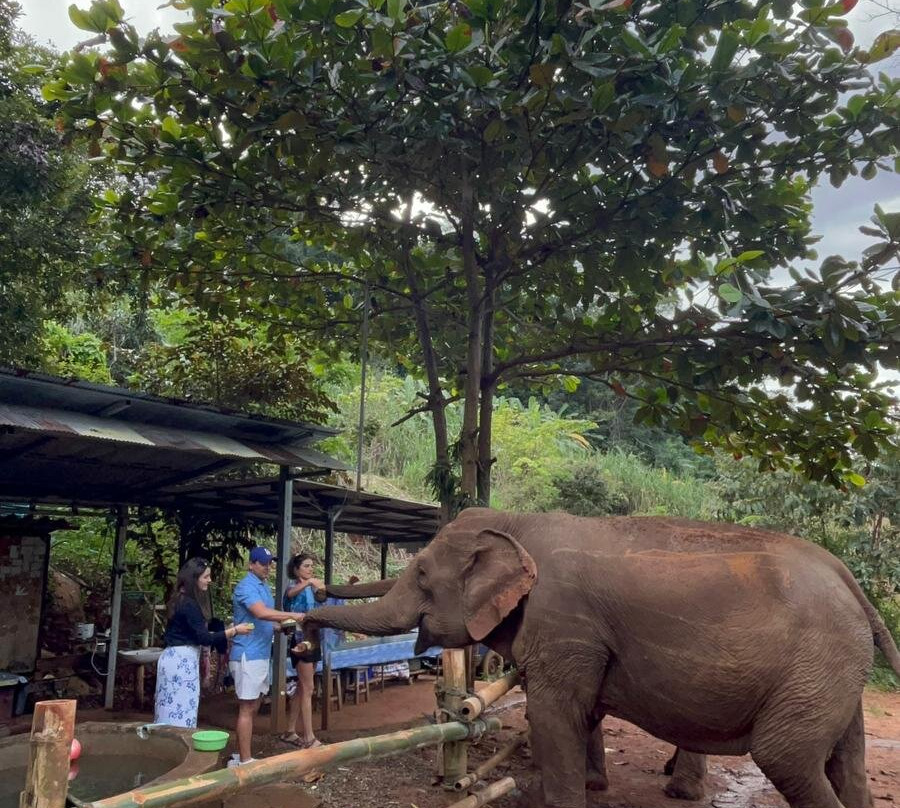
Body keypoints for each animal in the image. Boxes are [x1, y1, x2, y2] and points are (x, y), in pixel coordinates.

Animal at [304, 508, 900, 808]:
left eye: (424, 573)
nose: (304, 631)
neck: (517, 522)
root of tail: (852, 584)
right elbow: (580, 711)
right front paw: (594, 787)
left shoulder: (563, 620)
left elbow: (553, 712)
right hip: (830, 672)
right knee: (845, 760)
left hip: (815, 666)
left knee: (787, 758)